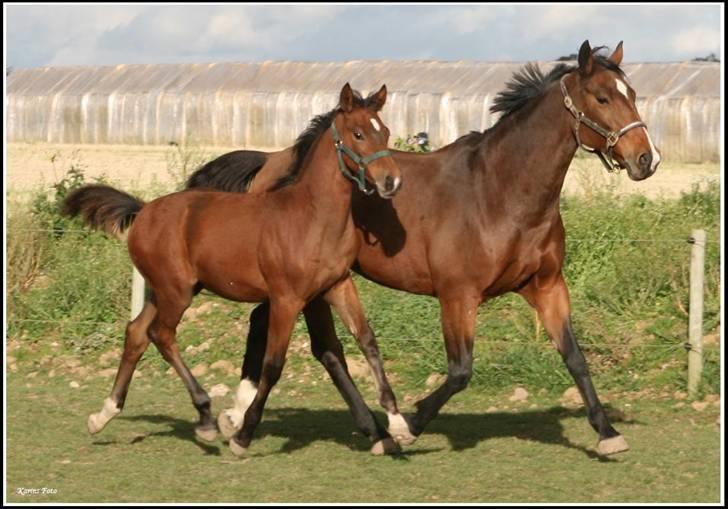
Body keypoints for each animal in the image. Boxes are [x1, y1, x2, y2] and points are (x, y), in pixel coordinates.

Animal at [62, 84, 404, 456]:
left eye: (385, 131)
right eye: (358, 134)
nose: (391, 181)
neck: (311, 217)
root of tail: (143, 210)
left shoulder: (337, 286)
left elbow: (368, 341)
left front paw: (396, 424)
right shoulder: (287, 299)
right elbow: (273, 364)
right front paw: (242, 435)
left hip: (165, 289)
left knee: (137, 332)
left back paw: (104, 414)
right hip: (176, 292)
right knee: (161, 335)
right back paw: (205, 418)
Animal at [186, 39, 660, 454]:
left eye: (633, 94)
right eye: (602, 97)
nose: (647, 159)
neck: (500, 193)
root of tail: (273, 161)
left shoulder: (546, 287)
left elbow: (575, 358)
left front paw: (608, 433)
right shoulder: (457, 295)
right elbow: (460, 371)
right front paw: (409, 424)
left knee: (280, 331)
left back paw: (246, 417)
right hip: (308, 285)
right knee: (322, 348)